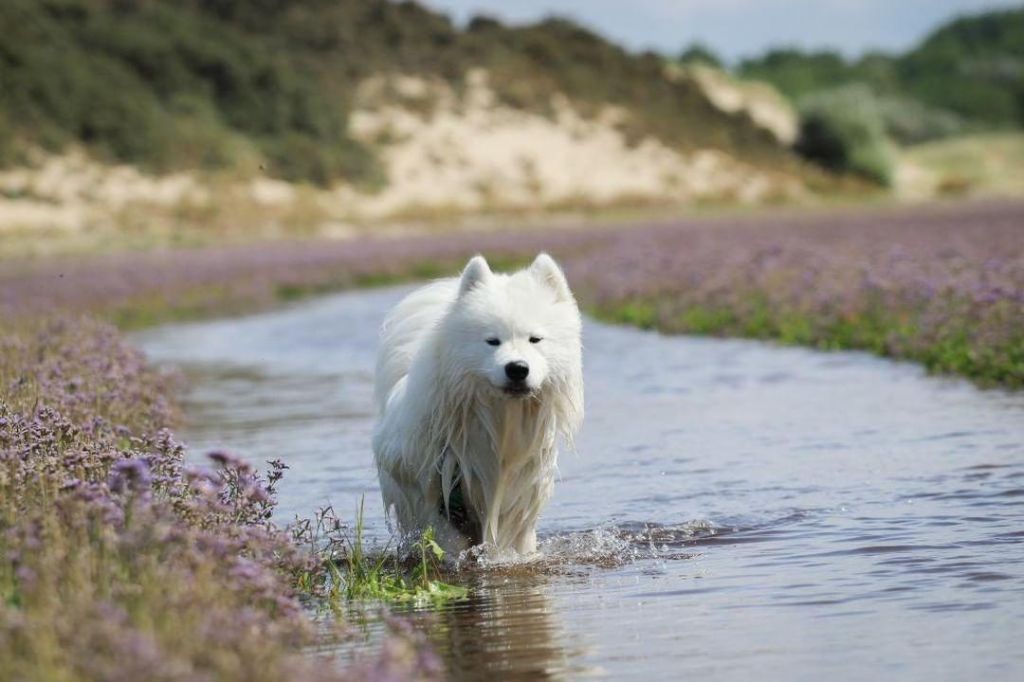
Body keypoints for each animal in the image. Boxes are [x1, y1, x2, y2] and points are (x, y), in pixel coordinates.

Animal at [374, 251, 585, 557]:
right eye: (492, 341)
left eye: (535, 339)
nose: (517, 368)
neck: (501, 421)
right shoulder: (428, 487)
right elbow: (444, 535)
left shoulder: (520, 496)